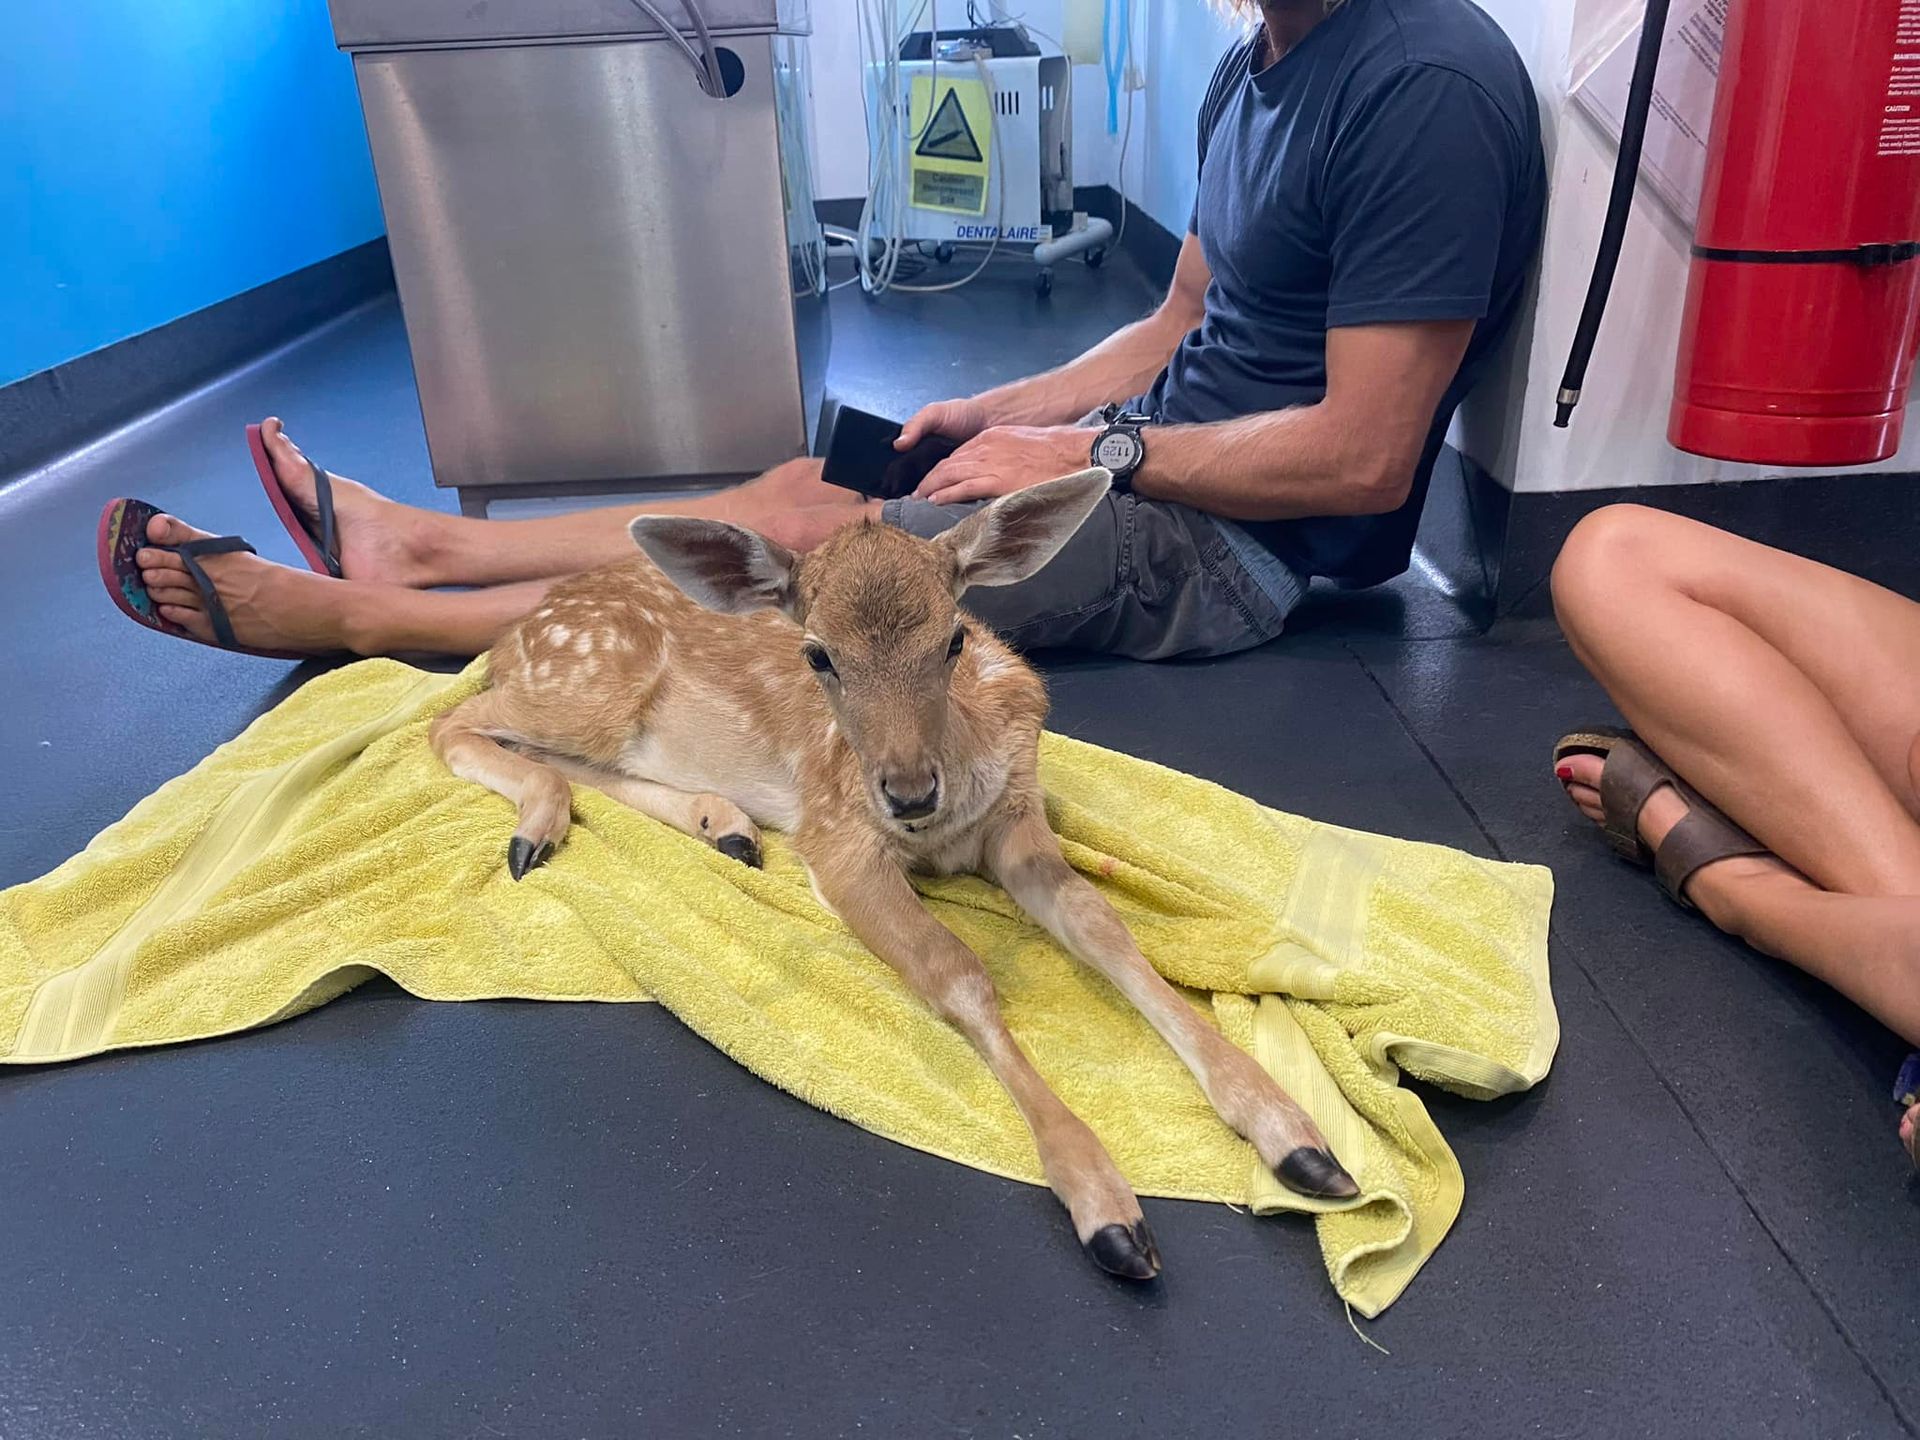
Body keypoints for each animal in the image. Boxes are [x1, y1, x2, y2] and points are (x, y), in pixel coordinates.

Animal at [429, 468, 1359, 1278]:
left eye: (954, 637)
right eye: (817, 655)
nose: (910, 791)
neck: (948, 813)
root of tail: (522, 629)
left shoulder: (1017, 819)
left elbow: (1108, 931)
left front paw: (1295, 1135)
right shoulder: (839, 839)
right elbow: (958, 973)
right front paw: (1106, 1207)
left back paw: (722, 824)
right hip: (587, 688)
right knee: (454, 718)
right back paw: (540, 830)